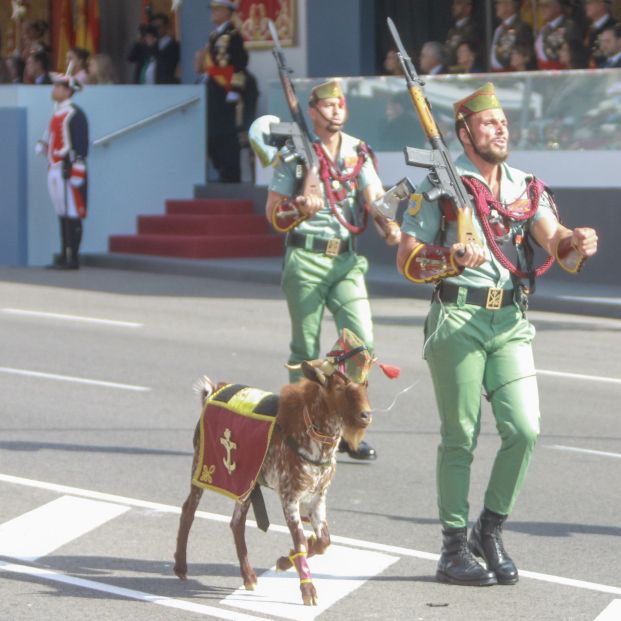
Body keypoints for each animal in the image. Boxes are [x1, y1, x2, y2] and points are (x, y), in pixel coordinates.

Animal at [172, 358, 370, 604]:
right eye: (339, 388)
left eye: (365, 386)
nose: (366, 415)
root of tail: (212, 391)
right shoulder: (290, 496)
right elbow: (300, 540)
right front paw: (308, 590)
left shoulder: (317, 497)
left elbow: (323, 542)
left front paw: (286, 561)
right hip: (202, 469)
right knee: (188, 510)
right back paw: (181, 566)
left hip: (246, 484)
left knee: (236, 523)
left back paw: (249, 577)